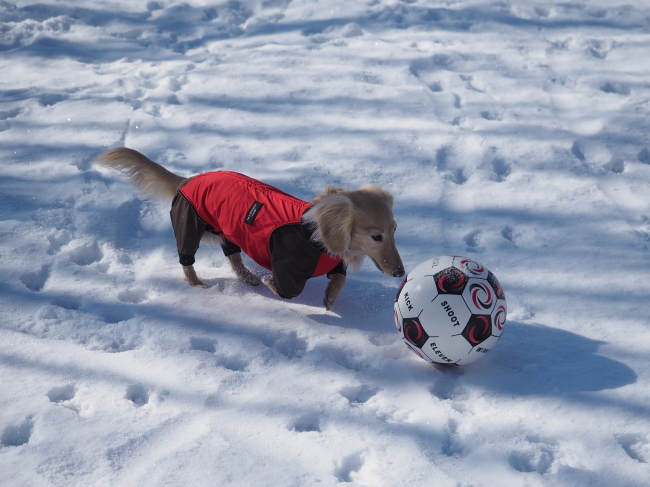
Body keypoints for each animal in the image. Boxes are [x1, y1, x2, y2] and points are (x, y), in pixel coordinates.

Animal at [94, 147, 402, 310]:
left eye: (395, 230)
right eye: (376, 236)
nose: (401, 272)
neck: (313, 235)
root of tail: (188, 180)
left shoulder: (335, 261)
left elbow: (339, 278)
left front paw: (330, 297)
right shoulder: (287, 268)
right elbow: (287, 290)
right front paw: (270, 282)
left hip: (227, 231)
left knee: (233, 257)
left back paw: (248, 277)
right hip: (189, 225)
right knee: (186, 260)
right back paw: (197, 283)